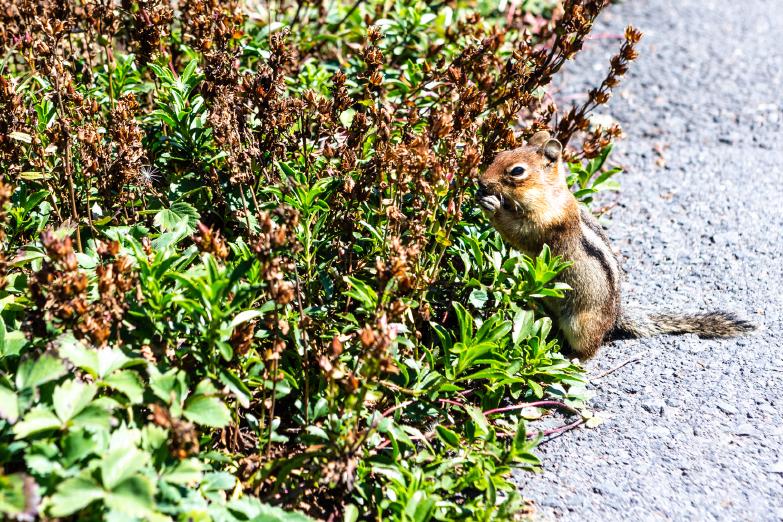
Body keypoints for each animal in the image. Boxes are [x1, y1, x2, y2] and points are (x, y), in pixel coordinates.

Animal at [477, 130, 755, 358]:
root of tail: (615, 318)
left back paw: (572, 357)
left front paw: (492, 207)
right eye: (500, 154)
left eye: (517, 171)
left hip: (581, 324)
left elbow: (519, 233)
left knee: (591, 348)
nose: (480, 181)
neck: (549, 194)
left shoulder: (547, 223)